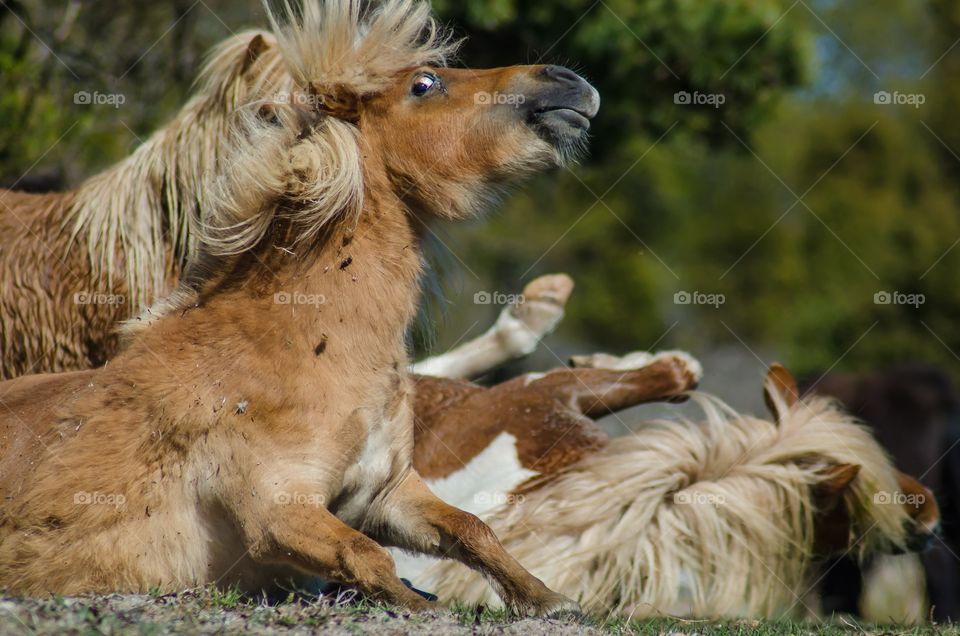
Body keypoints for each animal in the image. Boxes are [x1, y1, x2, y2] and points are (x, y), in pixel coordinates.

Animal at [0, 0, 600, 616]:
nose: (568, 82)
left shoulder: (385, 492)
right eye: (424, 83)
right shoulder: (279, 511)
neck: (301, 343)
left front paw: (547, 599)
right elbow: (366, 556)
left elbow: (472, 529)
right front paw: (419, 605)